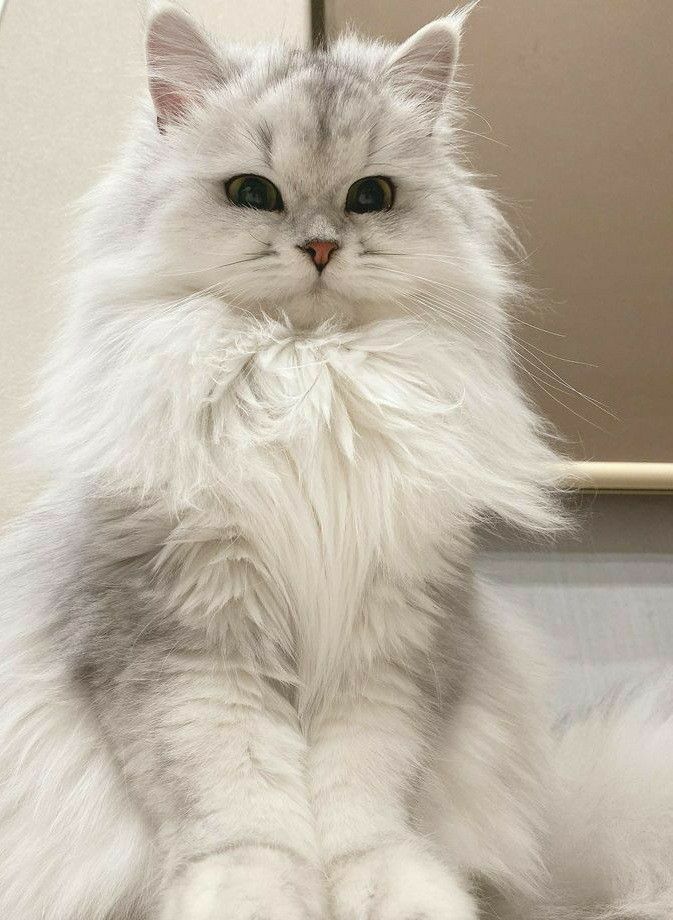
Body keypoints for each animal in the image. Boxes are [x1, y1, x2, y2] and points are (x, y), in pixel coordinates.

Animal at [1, 5, 672, 920]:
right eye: (253, 193)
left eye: (370, 197)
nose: (320, 248)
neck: (305, 372)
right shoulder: (191, 644)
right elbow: (242, 807)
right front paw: (252, 896)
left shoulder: (387, 640)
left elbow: (363, 806)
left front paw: (394, 892)